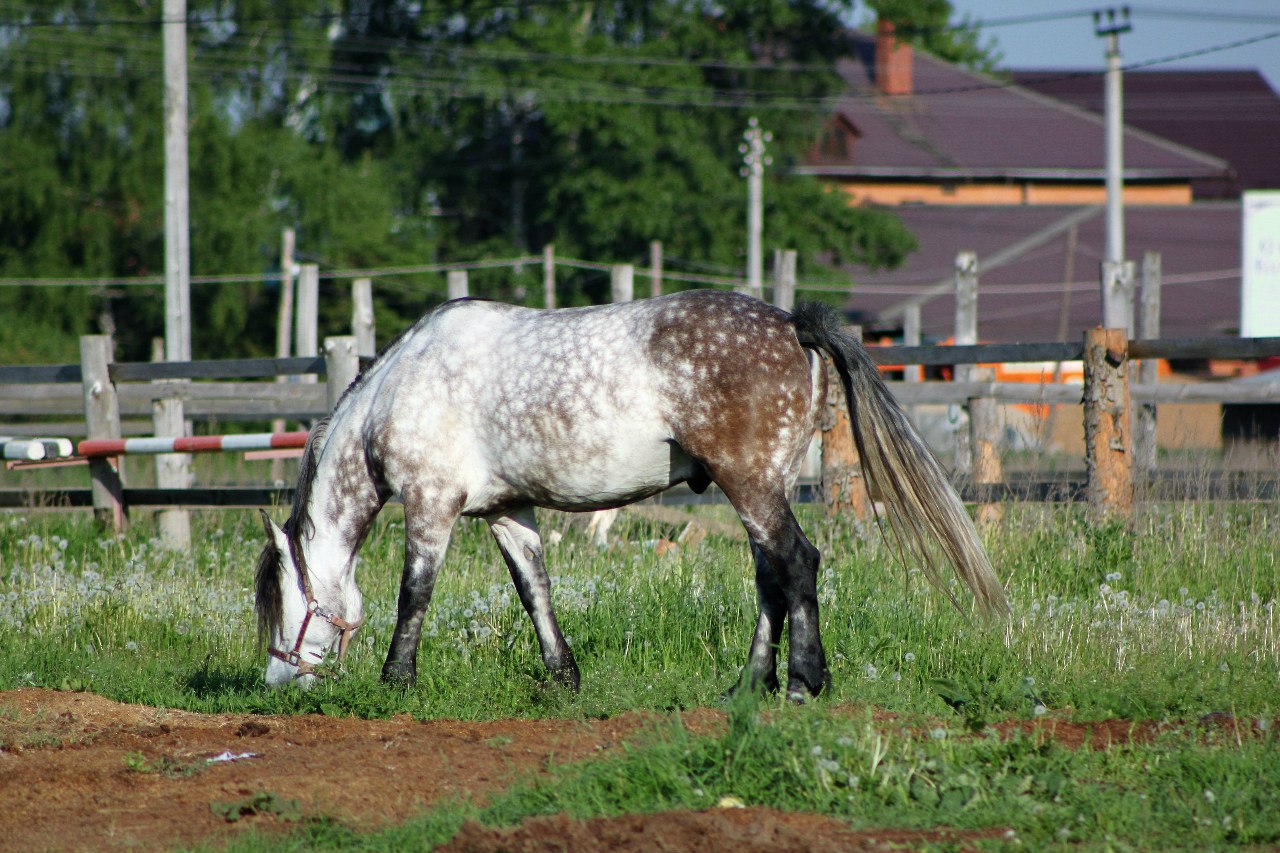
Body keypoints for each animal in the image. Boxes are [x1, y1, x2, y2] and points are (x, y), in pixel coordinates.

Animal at [252, 289, 1008, 696]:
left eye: (285, 602)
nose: (277, 682)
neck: (401, 388)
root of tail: (792, 324)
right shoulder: (506, 510)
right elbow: (534, 588)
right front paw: (564, 676)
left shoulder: (430, 503)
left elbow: (415, 593)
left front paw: (396, 680)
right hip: (763, 486)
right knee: (771, 576)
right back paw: (749, 683)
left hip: (750, 484)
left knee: (797, 563)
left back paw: (800, 680)